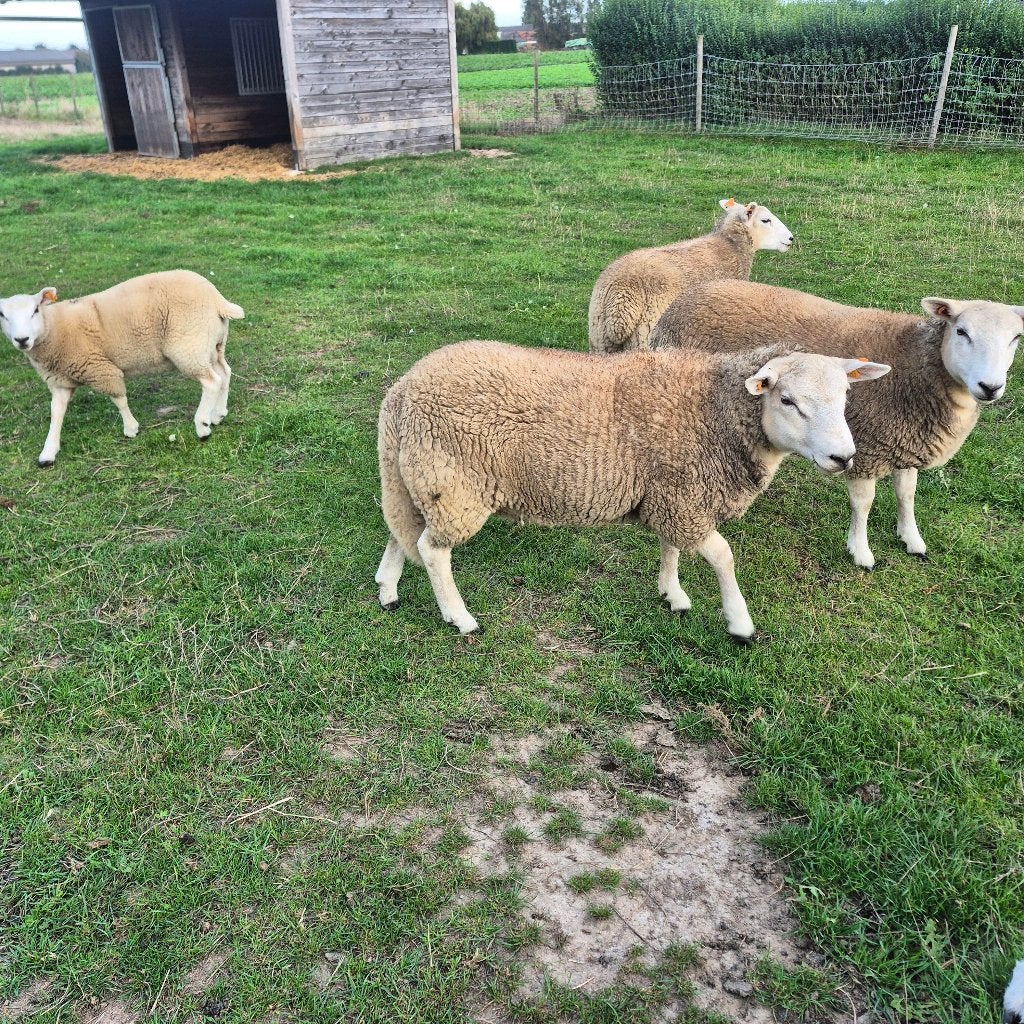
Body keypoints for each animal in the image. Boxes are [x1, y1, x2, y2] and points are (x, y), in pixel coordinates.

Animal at [0, 270, 244, 467]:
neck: (54, 329)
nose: (21, 340)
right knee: (224, 373)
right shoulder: (60, 381)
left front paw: (131, 428)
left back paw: (203, 426)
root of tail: (217, 299)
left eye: (35, 310)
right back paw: (218, 414)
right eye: (3, 315)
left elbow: (119, 399)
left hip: (190, 345)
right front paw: (48, 453)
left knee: (211, 382)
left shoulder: (99, 369)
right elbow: (56, 413)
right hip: (213, 345)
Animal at [374, 340, 889, 642]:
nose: (844, 457)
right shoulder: (686, 497)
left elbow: (671, 548)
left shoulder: (674, 493)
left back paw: (388, 590)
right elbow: (723, 556)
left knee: (403, 531)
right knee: (432, 549)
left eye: (846, 395)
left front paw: (672, 594)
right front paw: (740, 623)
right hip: (455, 485)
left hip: (418, 477)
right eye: (787, 400)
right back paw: (459, 617)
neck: (715, 409)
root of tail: (400, 393)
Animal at [587, 197, 793, 356]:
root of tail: (621, 298)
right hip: (645, 336)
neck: (729, 244)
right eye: (766, 220)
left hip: (599, 339)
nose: (791, 238)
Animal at [649, 279, 1024, 568]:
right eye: (961, 331)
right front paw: (861, 552)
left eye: (1016, 339)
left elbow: (907, 494)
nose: (990, 387)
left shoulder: (905, 441)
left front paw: (911, 538)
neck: (914, 366)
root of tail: (685, 297)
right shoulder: (867, 448)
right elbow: (864, 503)